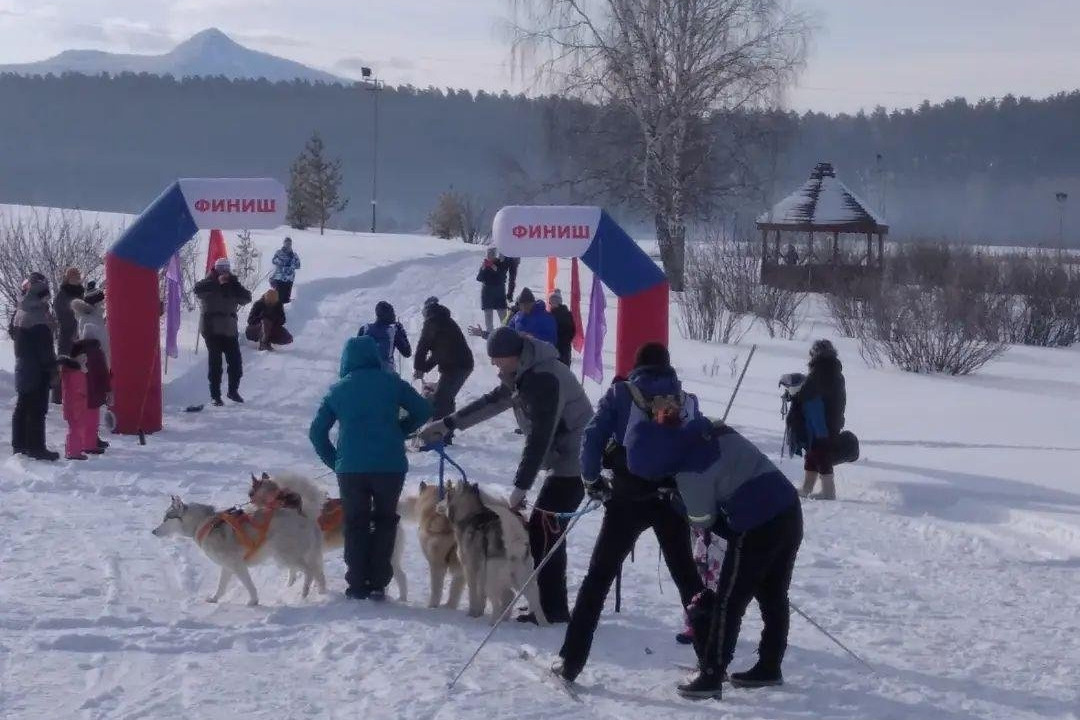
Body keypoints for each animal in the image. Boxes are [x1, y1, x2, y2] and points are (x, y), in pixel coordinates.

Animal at [154, 492, 324, 604]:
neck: (202, 523)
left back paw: (305, 591)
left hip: (285, 555)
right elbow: (221, 586)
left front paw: (253, 601)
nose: (153, 531)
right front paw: (214, 598)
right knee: (307, 571)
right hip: (284, 557)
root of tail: (306, 518)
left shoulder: (237, 565)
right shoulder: (227, 566)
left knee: (309, 571)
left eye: (166, 519)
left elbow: (249, 585)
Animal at [250, 472, 410, 604]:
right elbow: (299, 571)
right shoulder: (311, 554)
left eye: (250, 494)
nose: (249, 502)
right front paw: (293, 585)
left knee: (401, 577)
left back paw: (401, 598)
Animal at [438, 483, 544, 626]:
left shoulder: (471, 570)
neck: (471, 515)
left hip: (492, 580)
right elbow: (481, 598)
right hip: (523, 581)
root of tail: (513, 546)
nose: (437, 504)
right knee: (531, 602)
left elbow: (474, 595)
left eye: (446, 495)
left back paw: (493, 622)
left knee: (499, 603)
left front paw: (473, 614)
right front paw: (479, 613)